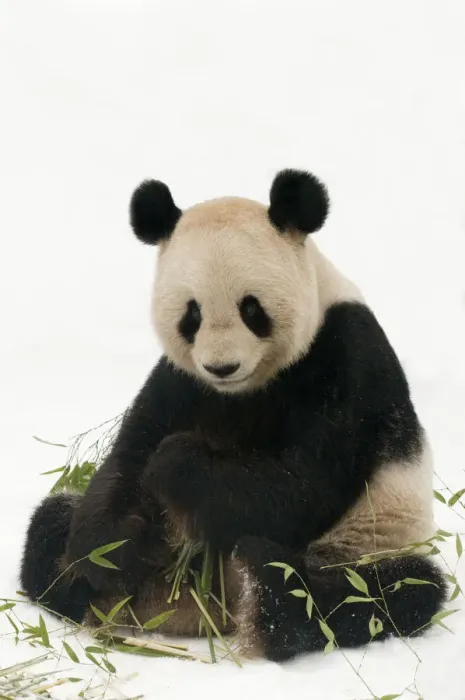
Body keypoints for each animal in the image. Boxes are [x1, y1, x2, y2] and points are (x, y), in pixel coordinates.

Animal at [20, 169, 447, 662]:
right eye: (192, 313)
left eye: (251, 308)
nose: (221, 366)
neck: (246, 389)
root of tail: (195, 609)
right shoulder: (181, 382)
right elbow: (128, 457)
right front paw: (113, 554)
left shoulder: (348, 358)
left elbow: (301, 486)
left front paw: (176, 463)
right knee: (50, 523)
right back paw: (83, 590)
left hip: (368, 544)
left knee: (381, 593)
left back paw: (261, 588)